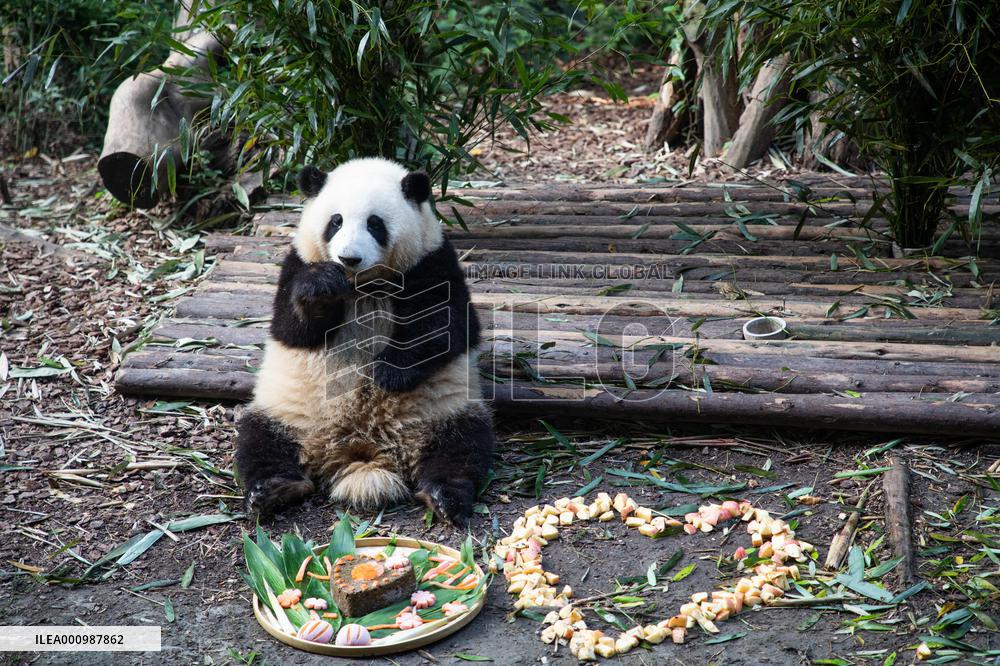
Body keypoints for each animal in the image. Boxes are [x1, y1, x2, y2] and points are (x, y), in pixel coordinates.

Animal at [235, 157, 495, 525]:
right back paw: (272, 490)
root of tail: (363, 448)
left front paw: (387, 374)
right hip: (289, 413)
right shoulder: (297, 263)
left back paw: (445, 496)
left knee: (462, 447)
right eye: (336, 221)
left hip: (443, 409)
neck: (363, 285)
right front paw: (321, 288)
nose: (349, 258)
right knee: (259, 442)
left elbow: (445, 325)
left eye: (375, 224)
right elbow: (291, 326)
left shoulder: (432, 263)